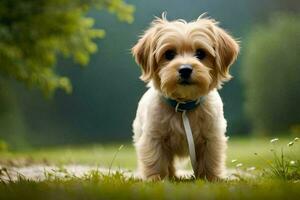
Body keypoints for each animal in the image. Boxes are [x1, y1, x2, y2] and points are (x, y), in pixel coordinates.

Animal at [131, 13, 239, 180]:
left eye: (200, 53)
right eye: (169, 54)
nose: (185, 69)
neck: (183, 106)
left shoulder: (211, 138)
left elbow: (210, 160)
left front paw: (211, 178)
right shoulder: (154, 138)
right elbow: (155, 160)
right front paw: (156, 179)